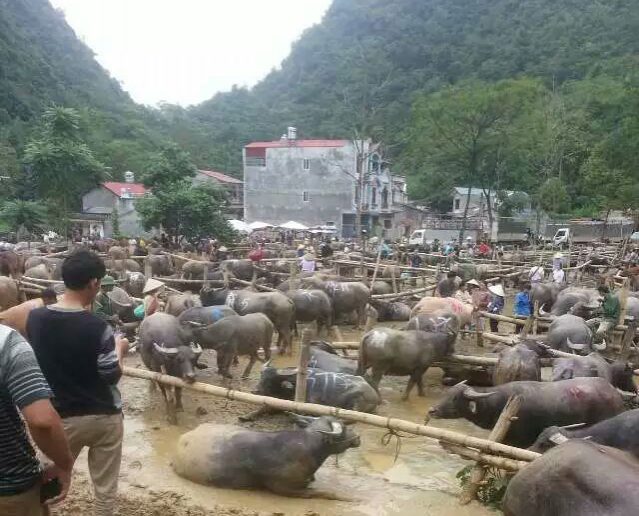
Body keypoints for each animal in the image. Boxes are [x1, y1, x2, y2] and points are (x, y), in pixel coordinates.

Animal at [424, 374, 624, 448]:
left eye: (455, 398)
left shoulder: (520, 440)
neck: (499, 404)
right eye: (447, 393)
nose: (432, 410)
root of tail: (615, 394)